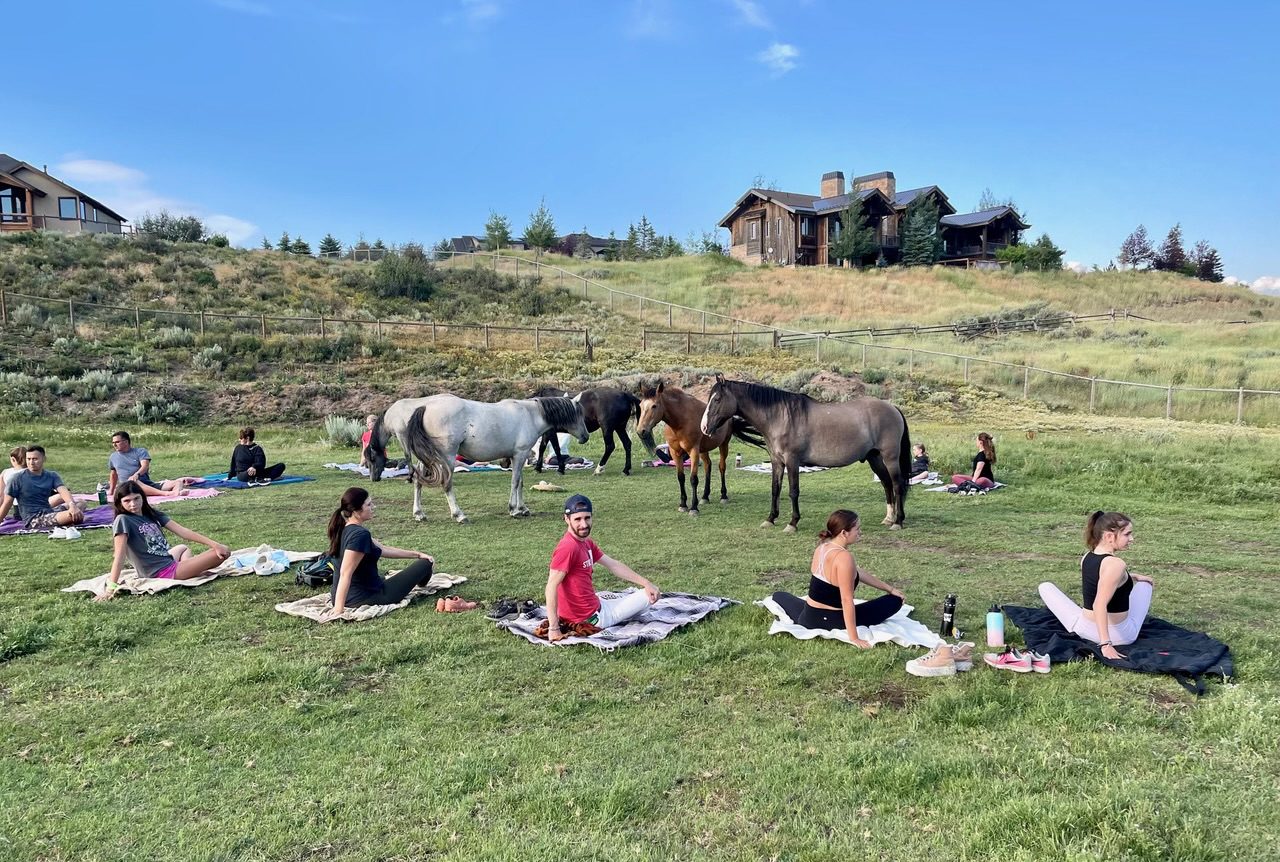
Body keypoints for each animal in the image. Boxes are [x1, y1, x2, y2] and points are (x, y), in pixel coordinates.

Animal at [368, 394, 586, 520]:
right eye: (579, 414)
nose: (585, 436)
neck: (530, 414)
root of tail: (425, 407)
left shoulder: (519, 456)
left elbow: (520, 482)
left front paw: (523, 508)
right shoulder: (520, 454)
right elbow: (515, 482)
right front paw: (514, 509)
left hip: (427, 458)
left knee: (418, 481)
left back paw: (419, 513)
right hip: (446, 458)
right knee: (446, 484)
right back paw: (458, 514)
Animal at [637, 384, 762, 517]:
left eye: (654, 406)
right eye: (640, 405)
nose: (641, 431)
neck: (680, 421)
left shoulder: (693, 451)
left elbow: (693, 479)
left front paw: (693, 508)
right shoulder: (676, 453)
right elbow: (681, 477)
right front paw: (683, 505)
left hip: (723, 445)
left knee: (721, 467)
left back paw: (723, 496)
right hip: (703, 450)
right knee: (708, 466)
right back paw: (705, 496)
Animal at [701, 374, 911, 530]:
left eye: (717, 399)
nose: (704, 427)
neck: (781, 417)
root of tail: (893, 407)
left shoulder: (792, 461)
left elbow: (793, 491)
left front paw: (792, 522)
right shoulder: (777, 462)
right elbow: (775, 489)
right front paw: (770, 519)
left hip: (890, 458)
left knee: (897, 484)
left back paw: (898, 521)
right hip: (874, 458)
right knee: (886, 484)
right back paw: (889, 518)